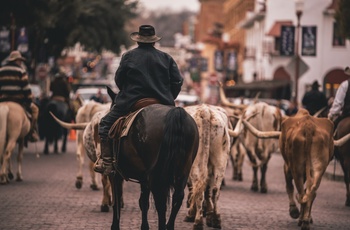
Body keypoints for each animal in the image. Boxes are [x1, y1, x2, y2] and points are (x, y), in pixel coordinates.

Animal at [106, 89, 200, 229]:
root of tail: (176, 113)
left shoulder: (116, 174)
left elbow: (117, 200)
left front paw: (115, 226)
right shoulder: (144, 177)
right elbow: (143, 202)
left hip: (156, 174)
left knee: (160, 202)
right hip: (182, 170)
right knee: (177, 198)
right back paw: (169, 226)